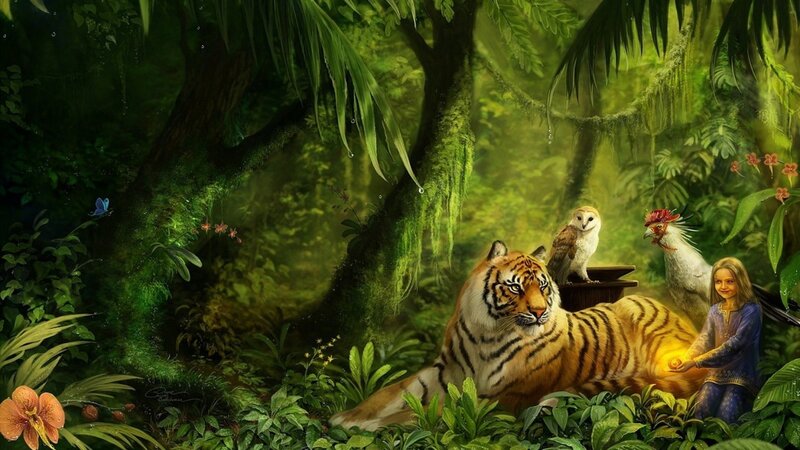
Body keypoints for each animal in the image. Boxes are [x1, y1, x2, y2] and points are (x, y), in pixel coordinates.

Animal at [330, 240, 708, 431]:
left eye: (543, 286)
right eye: (515, 287)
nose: (539, 312)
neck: (487, 332)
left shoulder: (506, 395)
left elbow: (427, 411)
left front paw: (370, 426)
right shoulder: (440, 373)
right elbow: (387, 394)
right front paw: (348, 416)